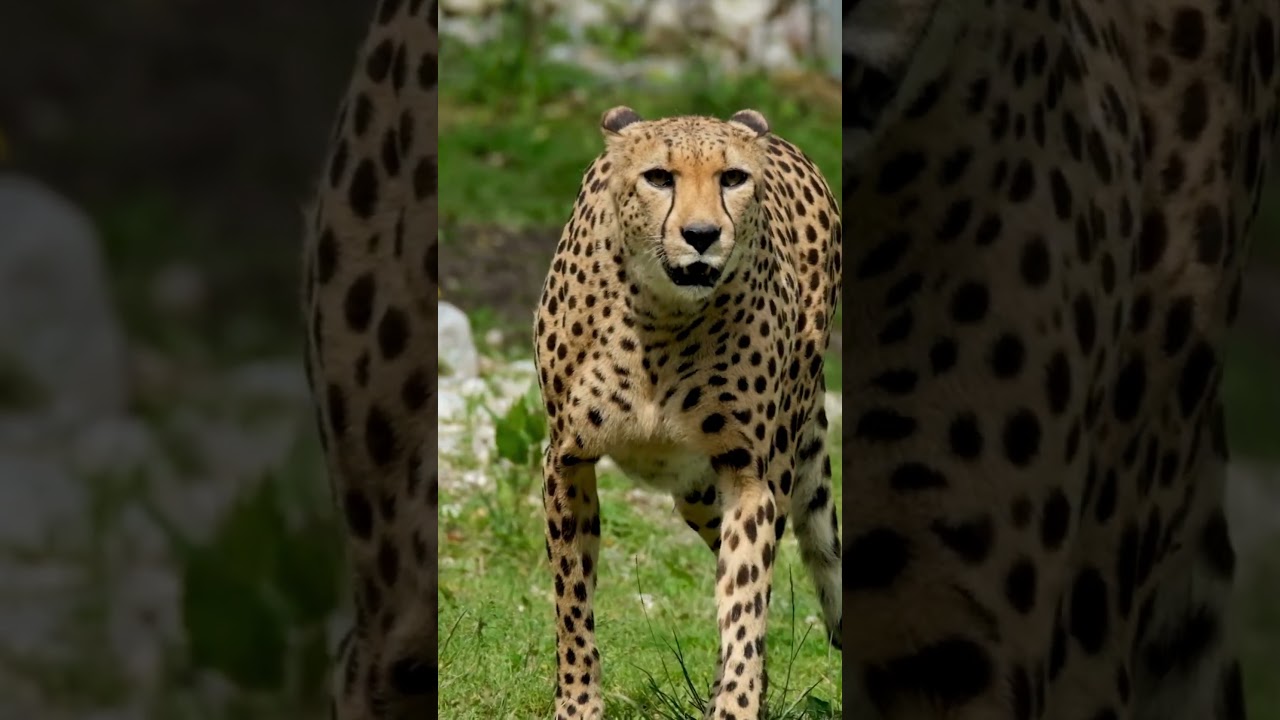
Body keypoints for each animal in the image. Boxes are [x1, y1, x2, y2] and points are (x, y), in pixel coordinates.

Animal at [532, 106, 843, 720]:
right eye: (659, 177)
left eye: (732, 178)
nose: (702, 236)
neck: (662, 318)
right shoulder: (566, 459)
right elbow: (572, 601)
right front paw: (578, 703)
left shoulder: (751, 478)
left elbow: (744, 602)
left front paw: (737, 702)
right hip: (696, 493)